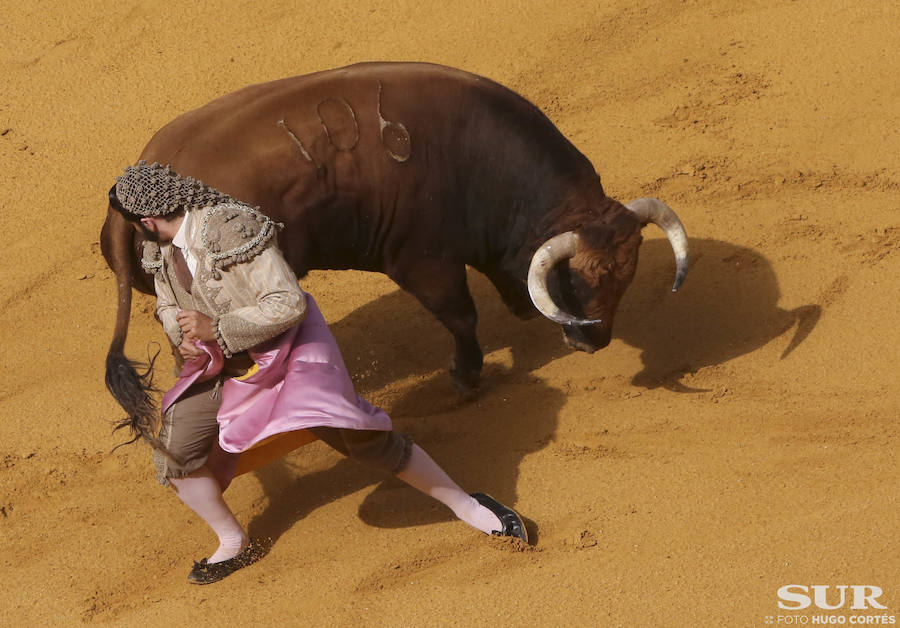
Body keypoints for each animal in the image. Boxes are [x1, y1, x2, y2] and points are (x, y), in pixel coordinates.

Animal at [100, 62, 688, 426]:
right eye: (579, 279)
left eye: (627, 277)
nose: (593, 341)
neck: (476, 160)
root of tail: (124, 201)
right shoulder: (423, 260)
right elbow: (461, 316)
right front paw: (464, 377)